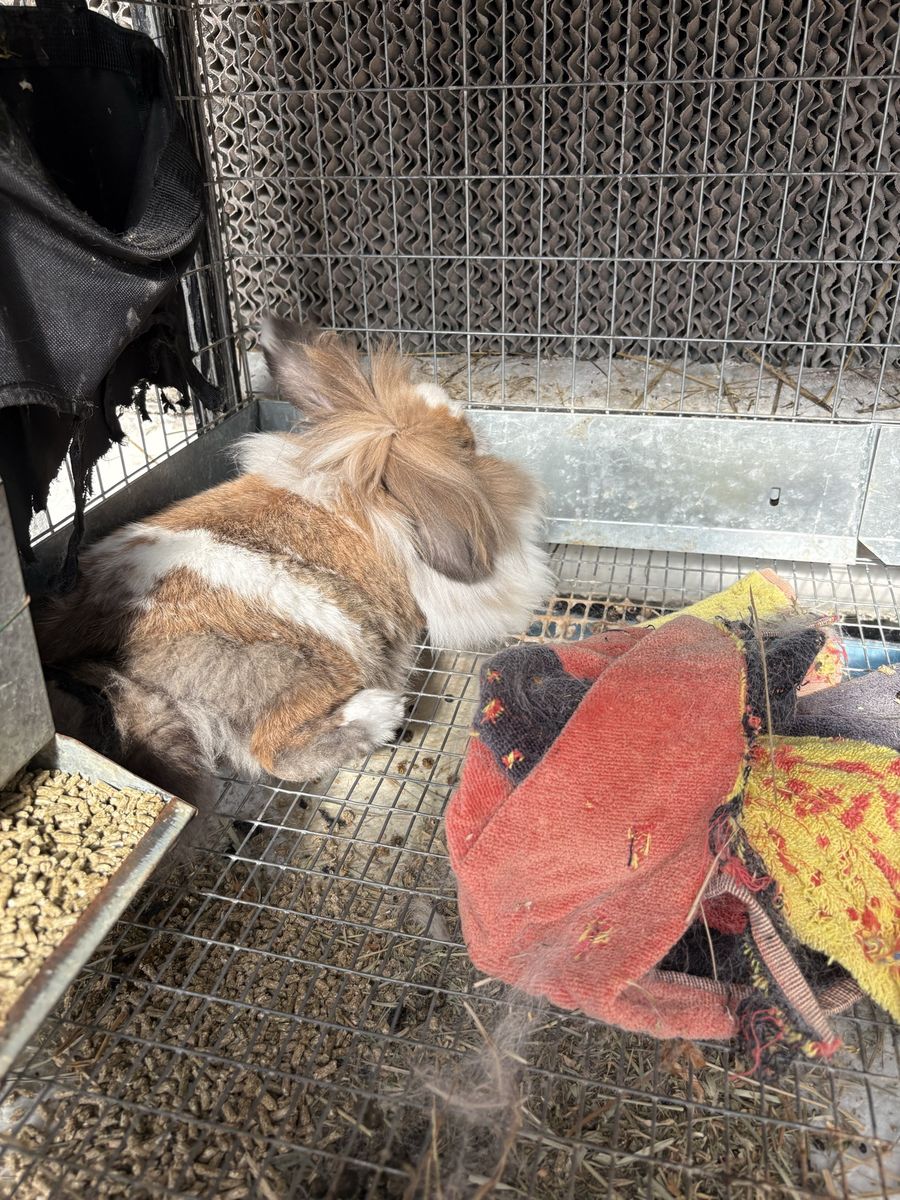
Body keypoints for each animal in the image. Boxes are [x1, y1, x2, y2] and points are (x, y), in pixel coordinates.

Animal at [35, 319, 554, 813]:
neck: (364, 488)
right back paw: (380, 715)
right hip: (328, 652)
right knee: (272, 751)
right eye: (464, 448)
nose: (477, 439)